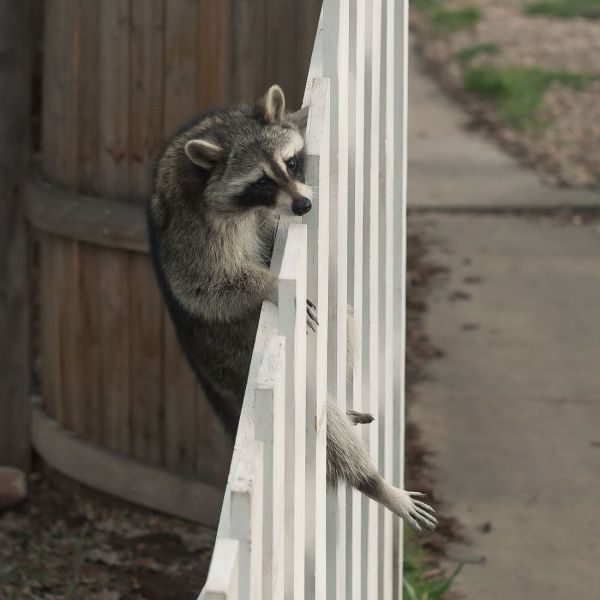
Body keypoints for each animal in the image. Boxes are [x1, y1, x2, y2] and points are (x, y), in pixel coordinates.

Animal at [146, 85, 436, 536]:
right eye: (260, 182)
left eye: (292, 162)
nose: (302, 206)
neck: (222, 133)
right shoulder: (192, 229)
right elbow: (205, 283)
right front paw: (268, 284)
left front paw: (301, 112)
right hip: (234, 358)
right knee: (324, 424)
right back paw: (372, 482)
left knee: (343, 323)